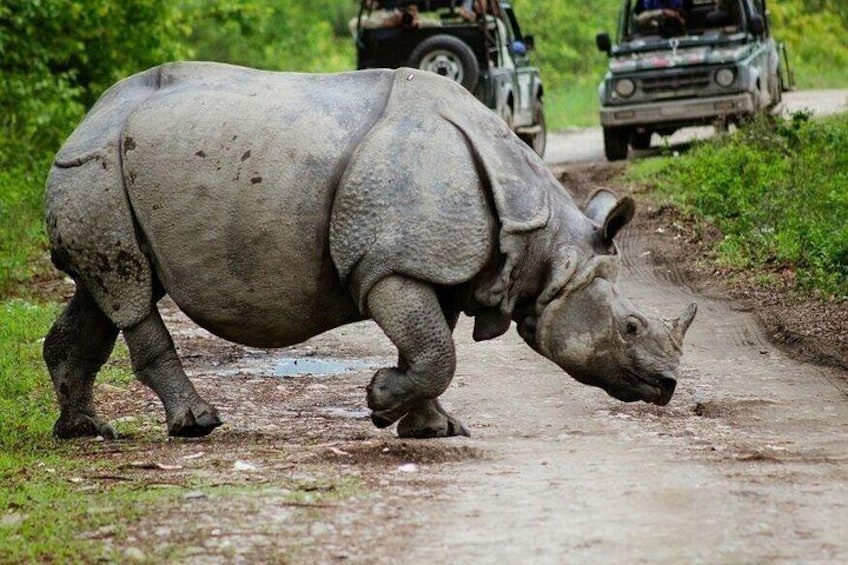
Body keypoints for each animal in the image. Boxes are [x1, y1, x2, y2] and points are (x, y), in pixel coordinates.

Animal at [43, 61, 696, 440]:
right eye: (630, 326)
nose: (667, 386)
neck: (542, 244)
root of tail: (87, 117)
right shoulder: (388, 266)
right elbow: (435, 352)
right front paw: (381, 403)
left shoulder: (438, 266)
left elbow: (432, 349)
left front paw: (433, 429)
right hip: (96, 166)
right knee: (128, 291)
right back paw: (196, 426)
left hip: (112, 169)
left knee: (104, 290)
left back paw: (85, 431)